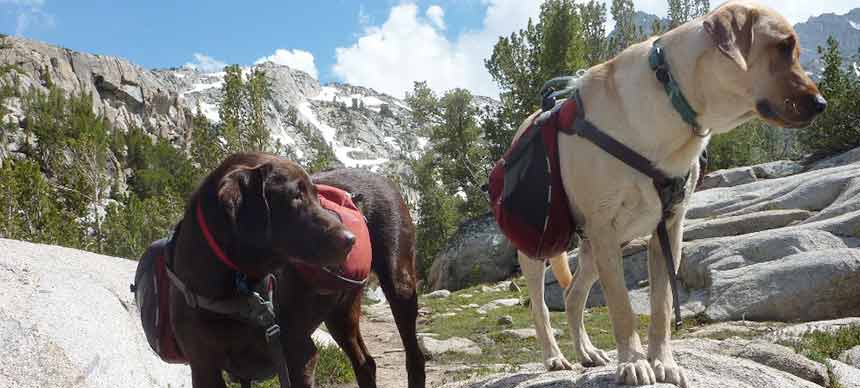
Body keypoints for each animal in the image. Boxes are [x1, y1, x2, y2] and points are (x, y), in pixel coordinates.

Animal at [168, 152, 424, 388]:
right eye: (296, 196)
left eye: (318, 196)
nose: (351, 240)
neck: (236, 288)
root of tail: (380, 177)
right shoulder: (203, 367)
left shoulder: (300, 354)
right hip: (340, 311)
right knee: (365, 363)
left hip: (399, 285)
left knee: (414, 357)